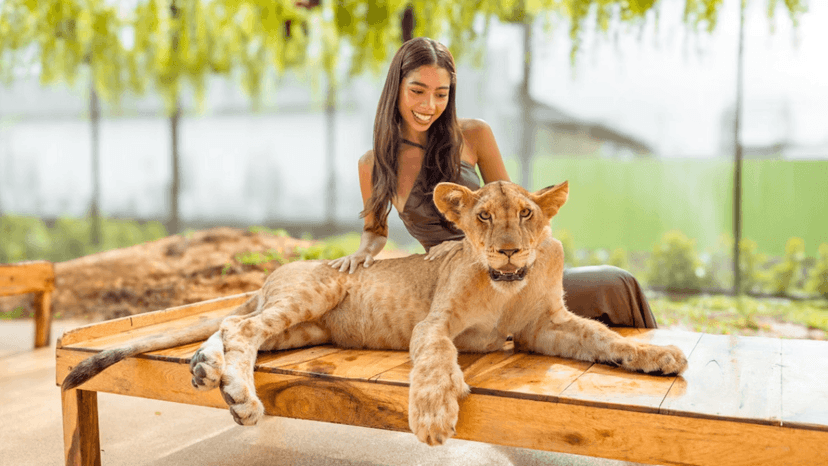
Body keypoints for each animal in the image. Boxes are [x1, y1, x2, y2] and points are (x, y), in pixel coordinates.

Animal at [62, 180, 687, 446]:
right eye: (483, 217)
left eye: (527, 215)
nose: (508, 250)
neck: (508, 286)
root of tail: (270, 277)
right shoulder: (435, 323)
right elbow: (435, 357)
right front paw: (434, 413)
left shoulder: (545, 328)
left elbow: (604, 338)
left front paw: (656, 356)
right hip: (316, 293)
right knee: (239, 324)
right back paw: (238, 395)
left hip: (302, 329)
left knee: (232, 328)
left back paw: (206, 369)